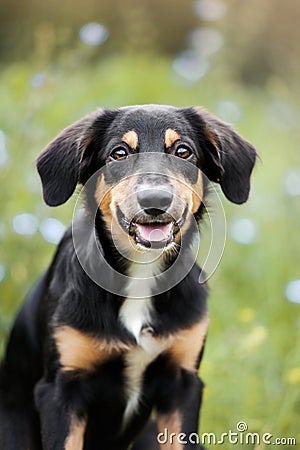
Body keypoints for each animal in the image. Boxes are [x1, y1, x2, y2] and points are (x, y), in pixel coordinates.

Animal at [0, 103, 256, 448]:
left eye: (183, 151)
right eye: (119, 153)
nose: (155, 201)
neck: (140, 274)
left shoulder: (183, 384)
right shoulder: (60, 390)